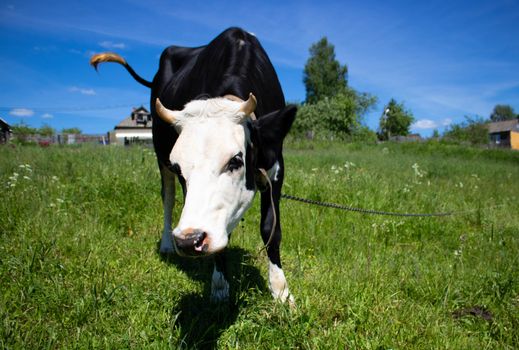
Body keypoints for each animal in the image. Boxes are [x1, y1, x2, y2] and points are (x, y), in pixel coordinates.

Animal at [92, 27, 296, 304]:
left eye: (236, 160)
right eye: (180, 168)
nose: (188, 241)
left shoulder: (276, 167)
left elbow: (271, 229)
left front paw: (281, 291)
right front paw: (219, 285)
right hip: (159, 156)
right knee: (167, 197)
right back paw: (167, 244)